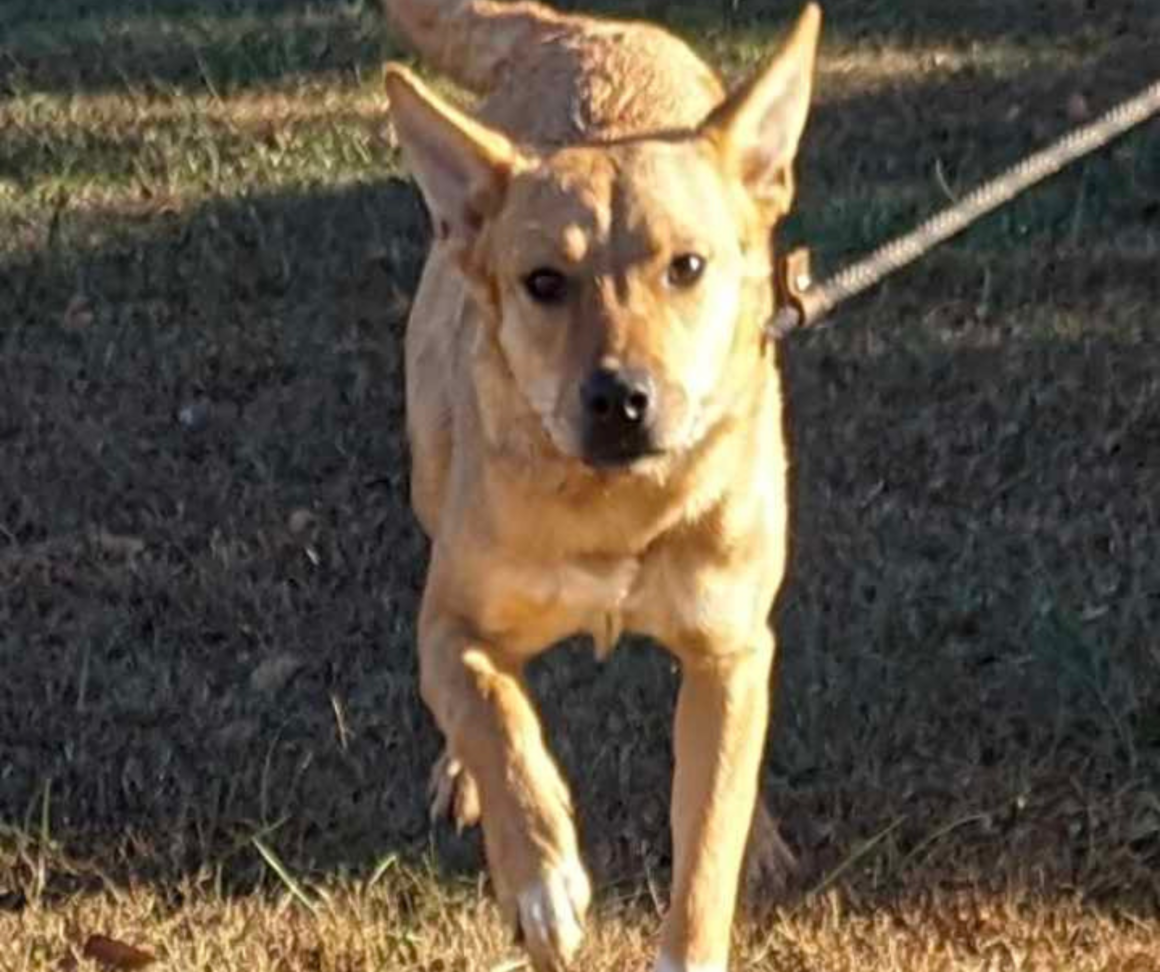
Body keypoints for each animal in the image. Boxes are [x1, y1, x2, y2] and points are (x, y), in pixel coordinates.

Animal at [380, 3, 816, 969]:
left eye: (686, 266)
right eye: (545, 282)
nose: (620, 398)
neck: (621, 512)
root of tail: (583, 27)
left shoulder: (729, 645)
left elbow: (708, 840)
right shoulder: (450, 619)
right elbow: (494, 718)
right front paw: (541, 878)